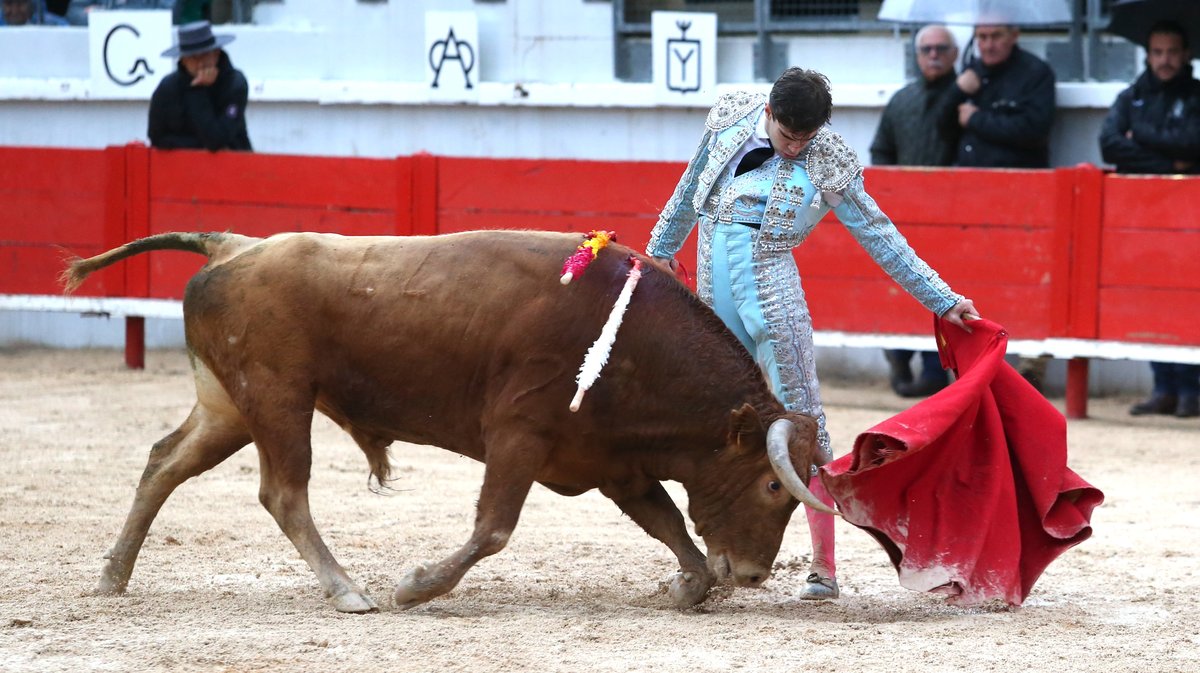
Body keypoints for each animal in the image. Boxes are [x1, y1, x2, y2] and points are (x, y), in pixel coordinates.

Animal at [63, 232, 835, 614]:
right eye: (774, 486)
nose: (756, 575)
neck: (627, 336)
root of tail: (229, 245)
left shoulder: (612, 464)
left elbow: (671, 525)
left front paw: (687, 586)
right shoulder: (518, 435)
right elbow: (493, 528)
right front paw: (415, 586)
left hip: (230, 404)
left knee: (164, 461)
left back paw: (111, 578)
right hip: (278, 398)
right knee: (283, 492)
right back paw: (349, 592)